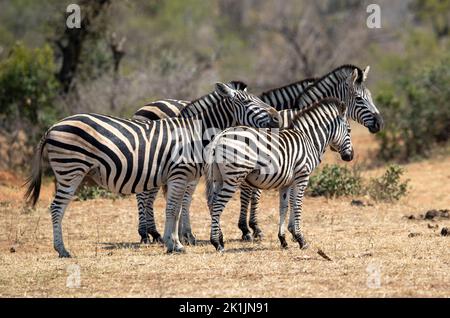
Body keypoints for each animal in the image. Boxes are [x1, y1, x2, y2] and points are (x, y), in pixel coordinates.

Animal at [24, 83, 280, 258]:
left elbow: (178, 210)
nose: (277, 117)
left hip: (68, 172)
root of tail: (52, 128)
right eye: (247, 103)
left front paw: (174, 242)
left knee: (59, 207)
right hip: (71, 169)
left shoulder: (184, 176)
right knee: (57, 207)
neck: (198, 132)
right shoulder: (179, 174)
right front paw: (175, 244)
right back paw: (63, 250)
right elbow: (172, 210)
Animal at [131, 79, 316, 243]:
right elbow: (250, 194)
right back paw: (146, 234)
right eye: (247, 102)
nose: (277, 118)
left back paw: (154, 233)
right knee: (143, 194)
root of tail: (142, 108)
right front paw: (249, 229)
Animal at [206, 97, 354, 251]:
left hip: (219, 178)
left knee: (212, 202)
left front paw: (284, 239)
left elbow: (284, 207)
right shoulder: (302, 177)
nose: (350, 156)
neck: (309, 139)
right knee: (218, 204)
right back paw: (217, 243)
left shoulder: (287, 182)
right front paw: (301, 239)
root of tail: (220, 135)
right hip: (234, 177)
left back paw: (220, 239)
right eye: (349, 130)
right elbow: (297, 205)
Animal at [239, 64, 384, 241]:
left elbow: (291, 198)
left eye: (370, 96)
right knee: (248, 191)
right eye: (359, 99)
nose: (379, 123)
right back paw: (248, 229)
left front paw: (291, 231)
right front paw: (294, 232)